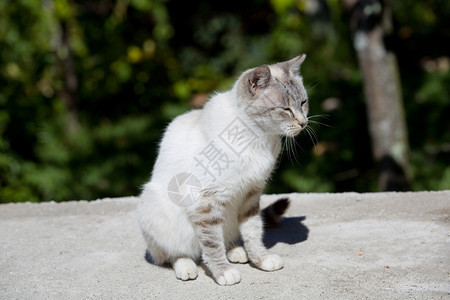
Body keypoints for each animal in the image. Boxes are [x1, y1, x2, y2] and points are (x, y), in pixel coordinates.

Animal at [139, 54, 310, 286]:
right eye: (285, 109)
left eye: (303, 103)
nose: (303, 123)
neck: (259, 138)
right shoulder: (206, 202)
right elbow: (212, 244)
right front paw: (223, 272)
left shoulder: (251, 194)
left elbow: (253, 231)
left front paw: (261, 260)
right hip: (154, 206)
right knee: (173, 254)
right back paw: (187, 267)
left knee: (226, 239)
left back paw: (237, 252)